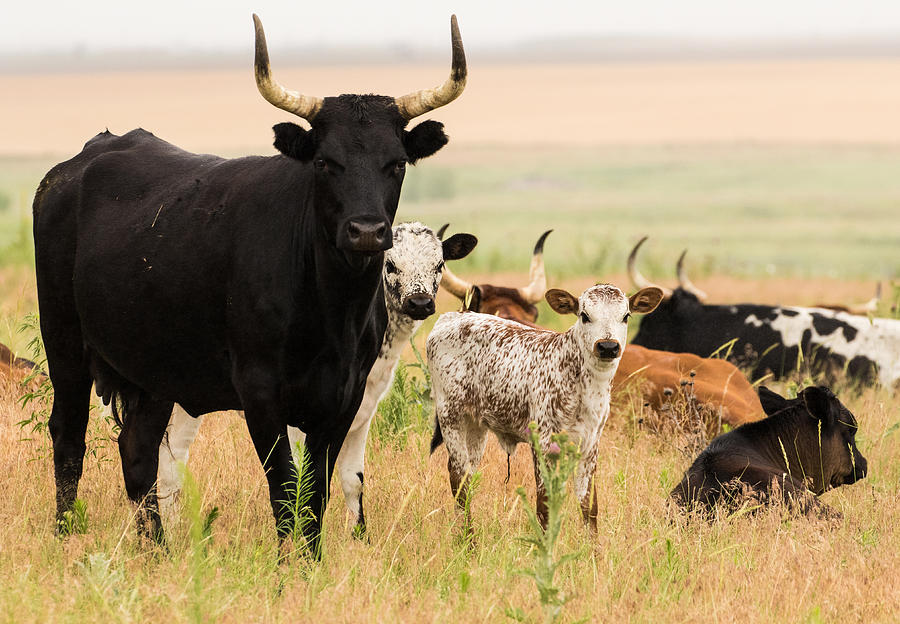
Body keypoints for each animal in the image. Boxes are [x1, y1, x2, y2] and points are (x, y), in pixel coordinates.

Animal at [33, 13, 472, 556]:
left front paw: (310, 559)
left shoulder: (343, 397)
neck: (330, 309)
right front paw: (288, 564)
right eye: (324, 162)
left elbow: (317, 490)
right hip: (65, 344)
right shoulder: (260, 392)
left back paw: (156, 552)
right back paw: (64, 534)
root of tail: (74, 166)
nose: (367, 231)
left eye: (396, 163)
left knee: (137, 452)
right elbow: (284, 486)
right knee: (68, 437)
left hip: (153, 370)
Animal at [426, 286, 664, 528]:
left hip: (475, 425)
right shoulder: (543, 442)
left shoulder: (590, 445)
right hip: (450, 416)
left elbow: (589, 506)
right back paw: (468, 536)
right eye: (584, 315)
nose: (608, 346)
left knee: (467, 475)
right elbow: (545, 505)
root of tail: (453, 316)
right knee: (458, 479)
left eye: (625, 316)